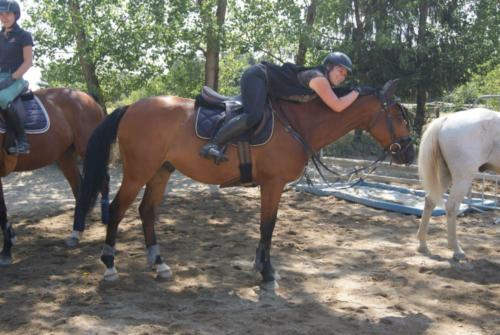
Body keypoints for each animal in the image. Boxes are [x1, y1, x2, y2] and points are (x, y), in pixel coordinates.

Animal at [0, 88, 108, 268]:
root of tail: (88, 97)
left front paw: (7, 251)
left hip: (88, 149)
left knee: (103, 181)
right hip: (65, 157)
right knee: (79, 189)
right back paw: (76, 233)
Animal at [71, 80, 414, 290]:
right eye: (398, 114)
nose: (408, 152)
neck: (297, 124)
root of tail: (131, 107)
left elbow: (266, 227)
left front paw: (260, 266)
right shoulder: (272, 185)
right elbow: (267, 226)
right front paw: (267, 273)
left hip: (160, 172)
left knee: (146, 211)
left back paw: (159, 264)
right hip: (138, 171)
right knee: (117, 209)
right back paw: (110, 265)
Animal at [416, 107, 500, 260]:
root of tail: (447, 119)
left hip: (446, 176)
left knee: (430, 200)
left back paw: (423, 245)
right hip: (463, 178)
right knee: (451, 206)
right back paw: (456, 249)